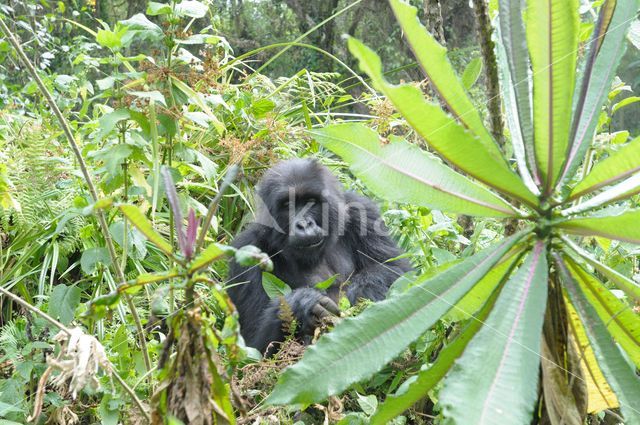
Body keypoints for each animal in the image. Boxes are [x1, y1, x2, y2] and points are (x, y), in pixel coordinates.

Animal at [228, 157, 412, 352]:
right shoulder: (246, 249)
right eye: (287, 205)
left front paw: (364, 289)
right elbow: (253, 345)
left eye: (310, 201)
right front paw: (304, 305)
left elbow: (397, 269)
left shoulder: (363, 212)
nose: (303, 225)